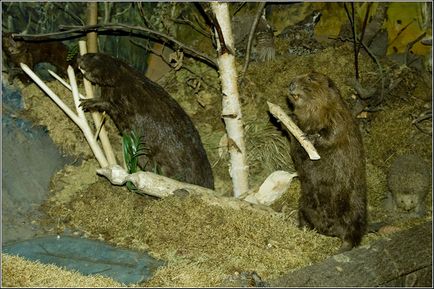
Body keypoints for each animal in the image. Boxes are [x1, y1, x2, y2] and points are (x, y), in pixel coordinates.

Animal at [286, 71, 368, 251]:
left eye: (310, 78)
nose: (291, 84)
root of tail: (331, 231)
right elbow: (295, 146)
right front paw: (291, 118)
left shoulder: (339, 114)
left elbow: (333, 132)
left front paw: (311, 137)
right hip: (304, 202)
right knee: (304, 214)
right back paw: (303, 228)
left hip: (355, 205)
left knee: (354, 231)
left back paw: (344, 246)